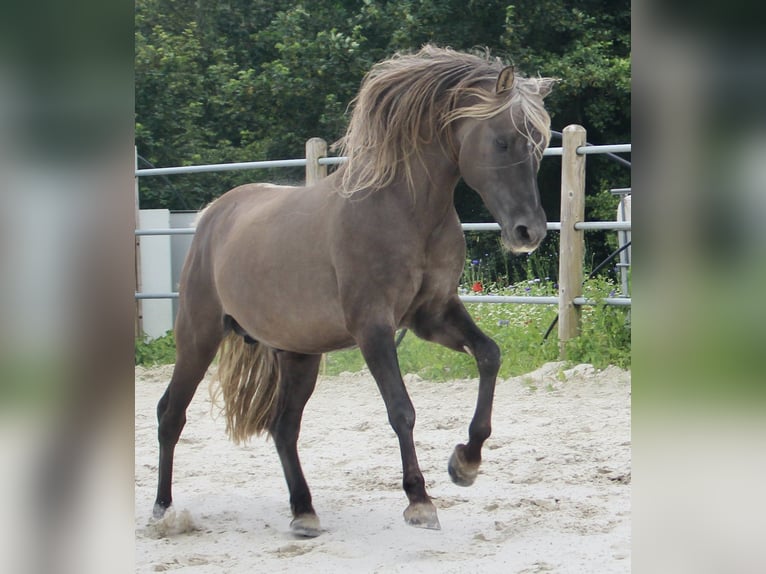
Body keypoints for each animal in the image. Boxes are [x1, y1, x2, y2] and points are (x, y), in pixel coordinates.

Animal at [153, 45, 555, 537]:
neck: (404, 210)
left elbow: (490, 355)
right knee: (171, 414)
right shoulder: (373, 327)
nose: (529, 233)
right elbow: (402, 409)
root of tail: (213, 214)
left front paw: (465, 463)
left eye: (539, 144)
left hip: (299, 353)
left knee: (283, 428)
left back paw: (304, 511)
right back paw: (163, 510)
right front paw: (419, 501)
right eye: (502, 141)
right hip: (198, 337)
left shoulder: (433, 315)